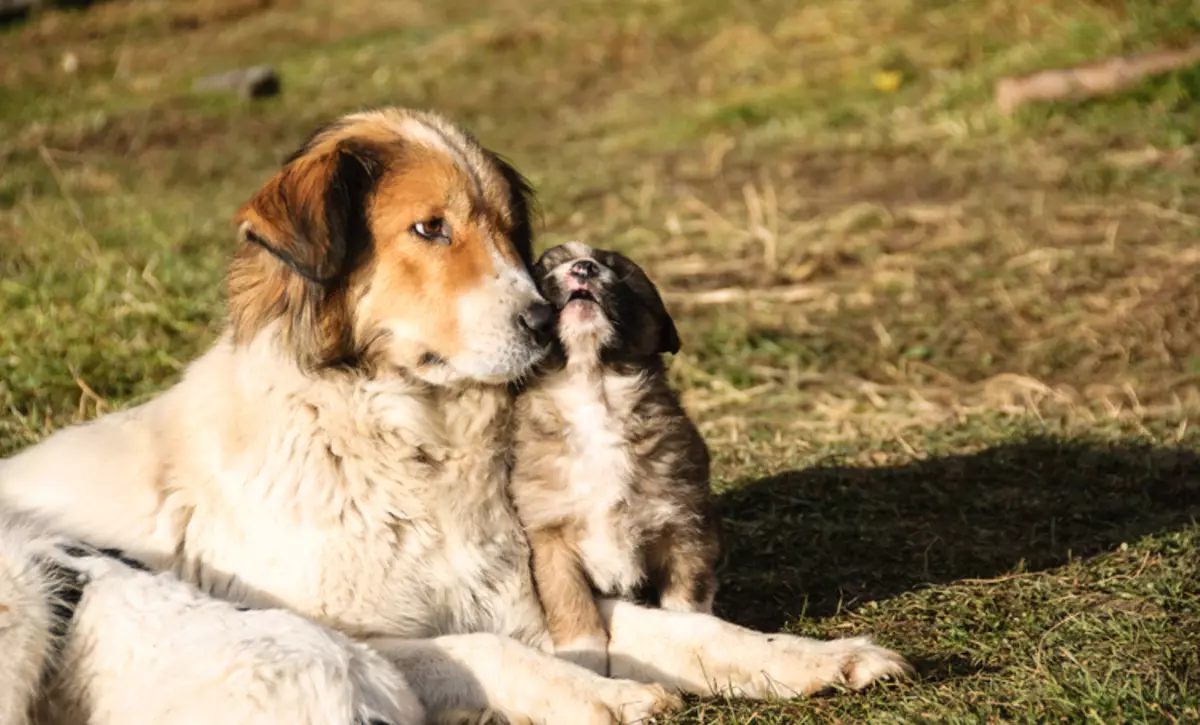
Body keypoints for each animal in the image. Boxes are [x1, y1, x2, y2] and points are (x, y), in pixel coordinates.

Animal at [508, 242, 715, 672]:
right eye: (546, 268)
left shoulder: (684, 526)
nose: (583, 268)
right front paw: (586, 665)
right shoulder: (549, 539)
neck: (593, 391)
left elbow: (686, 601)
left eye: (619, 271)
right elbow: (573, 608)